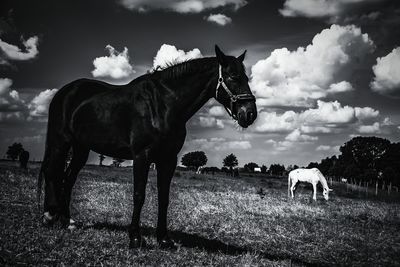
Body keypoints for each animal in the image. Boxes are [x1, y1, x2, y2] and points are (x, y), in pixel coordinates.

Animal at [36, 45, 256, 249]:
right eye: (233, 76)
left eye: (246, 77)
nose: (250, 114)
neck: (162, 105)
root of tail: (65, 91)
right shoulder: (142, 156)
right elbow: (139, 195)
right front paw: (135, 238)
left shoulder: (168, 159)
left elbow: (164, 198)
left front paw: (164, 239)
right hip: (60, 141)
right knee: (52, 171)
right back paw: (49, 216)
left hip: (81, 148)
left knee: (68, 178)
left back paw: (67, 221)